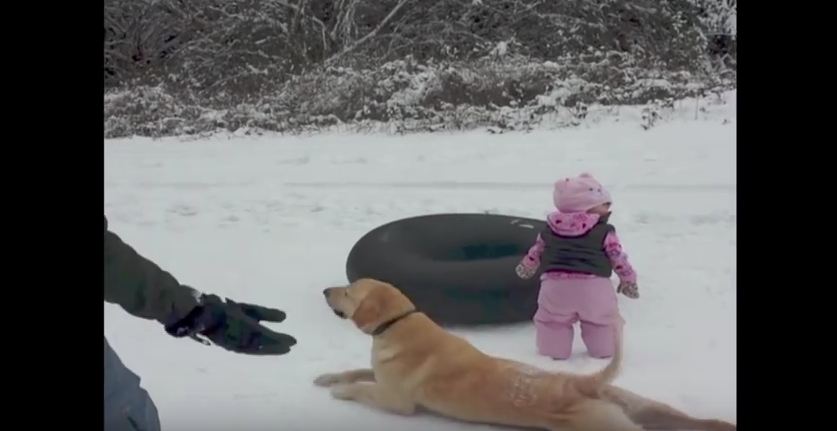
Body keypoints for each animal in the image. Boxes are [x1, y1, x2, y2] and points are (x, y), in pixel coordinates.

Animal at [316, 278, 736, 430]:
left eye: (348, 291)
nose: (325, 291)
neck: (397, 323)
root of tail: (584, 384)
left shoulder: (396, 401)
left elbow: (363, 388)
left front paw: (341, 391)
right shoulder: (378, 373)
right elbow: (355, 370)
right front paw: (328, 377)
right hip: (640, 406)